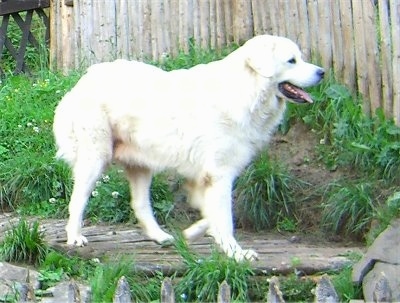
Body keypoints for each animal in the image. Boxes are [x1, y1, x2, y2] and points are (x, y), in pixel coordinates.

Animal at [53, 35, 324, 262]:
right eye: (292, 60)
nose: (322, 72)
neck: (245, 91)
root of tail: (84, 80)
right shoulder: (219, 175)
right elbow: (225, 218)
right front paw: (236, 254)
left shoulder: (204, 177)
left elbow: (210, 213)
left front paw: (193, 233)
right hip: (95, 158)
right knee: (77, 200)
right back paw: (74, 237)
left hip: (141, 164)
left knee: (140, 204)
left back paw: (161, 237)